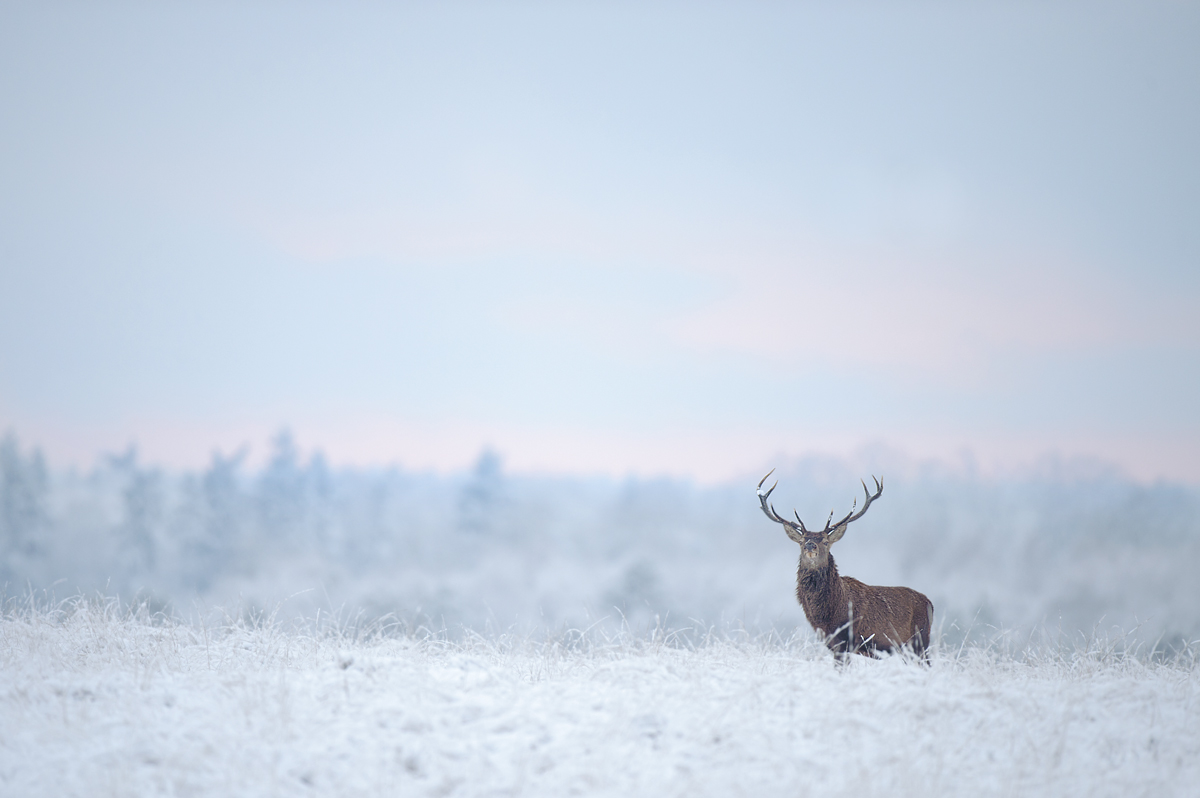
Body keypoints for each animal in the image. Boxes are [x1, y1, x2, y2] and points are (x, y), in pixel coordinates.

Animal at [757, 470, 933, 661]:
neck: (827, 613)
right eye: (802, 541)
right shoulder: (830, 641)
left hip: (920, 641)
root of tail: (930, 604)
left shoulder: (846, 640)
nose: (810, 545)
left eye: (826, 541)